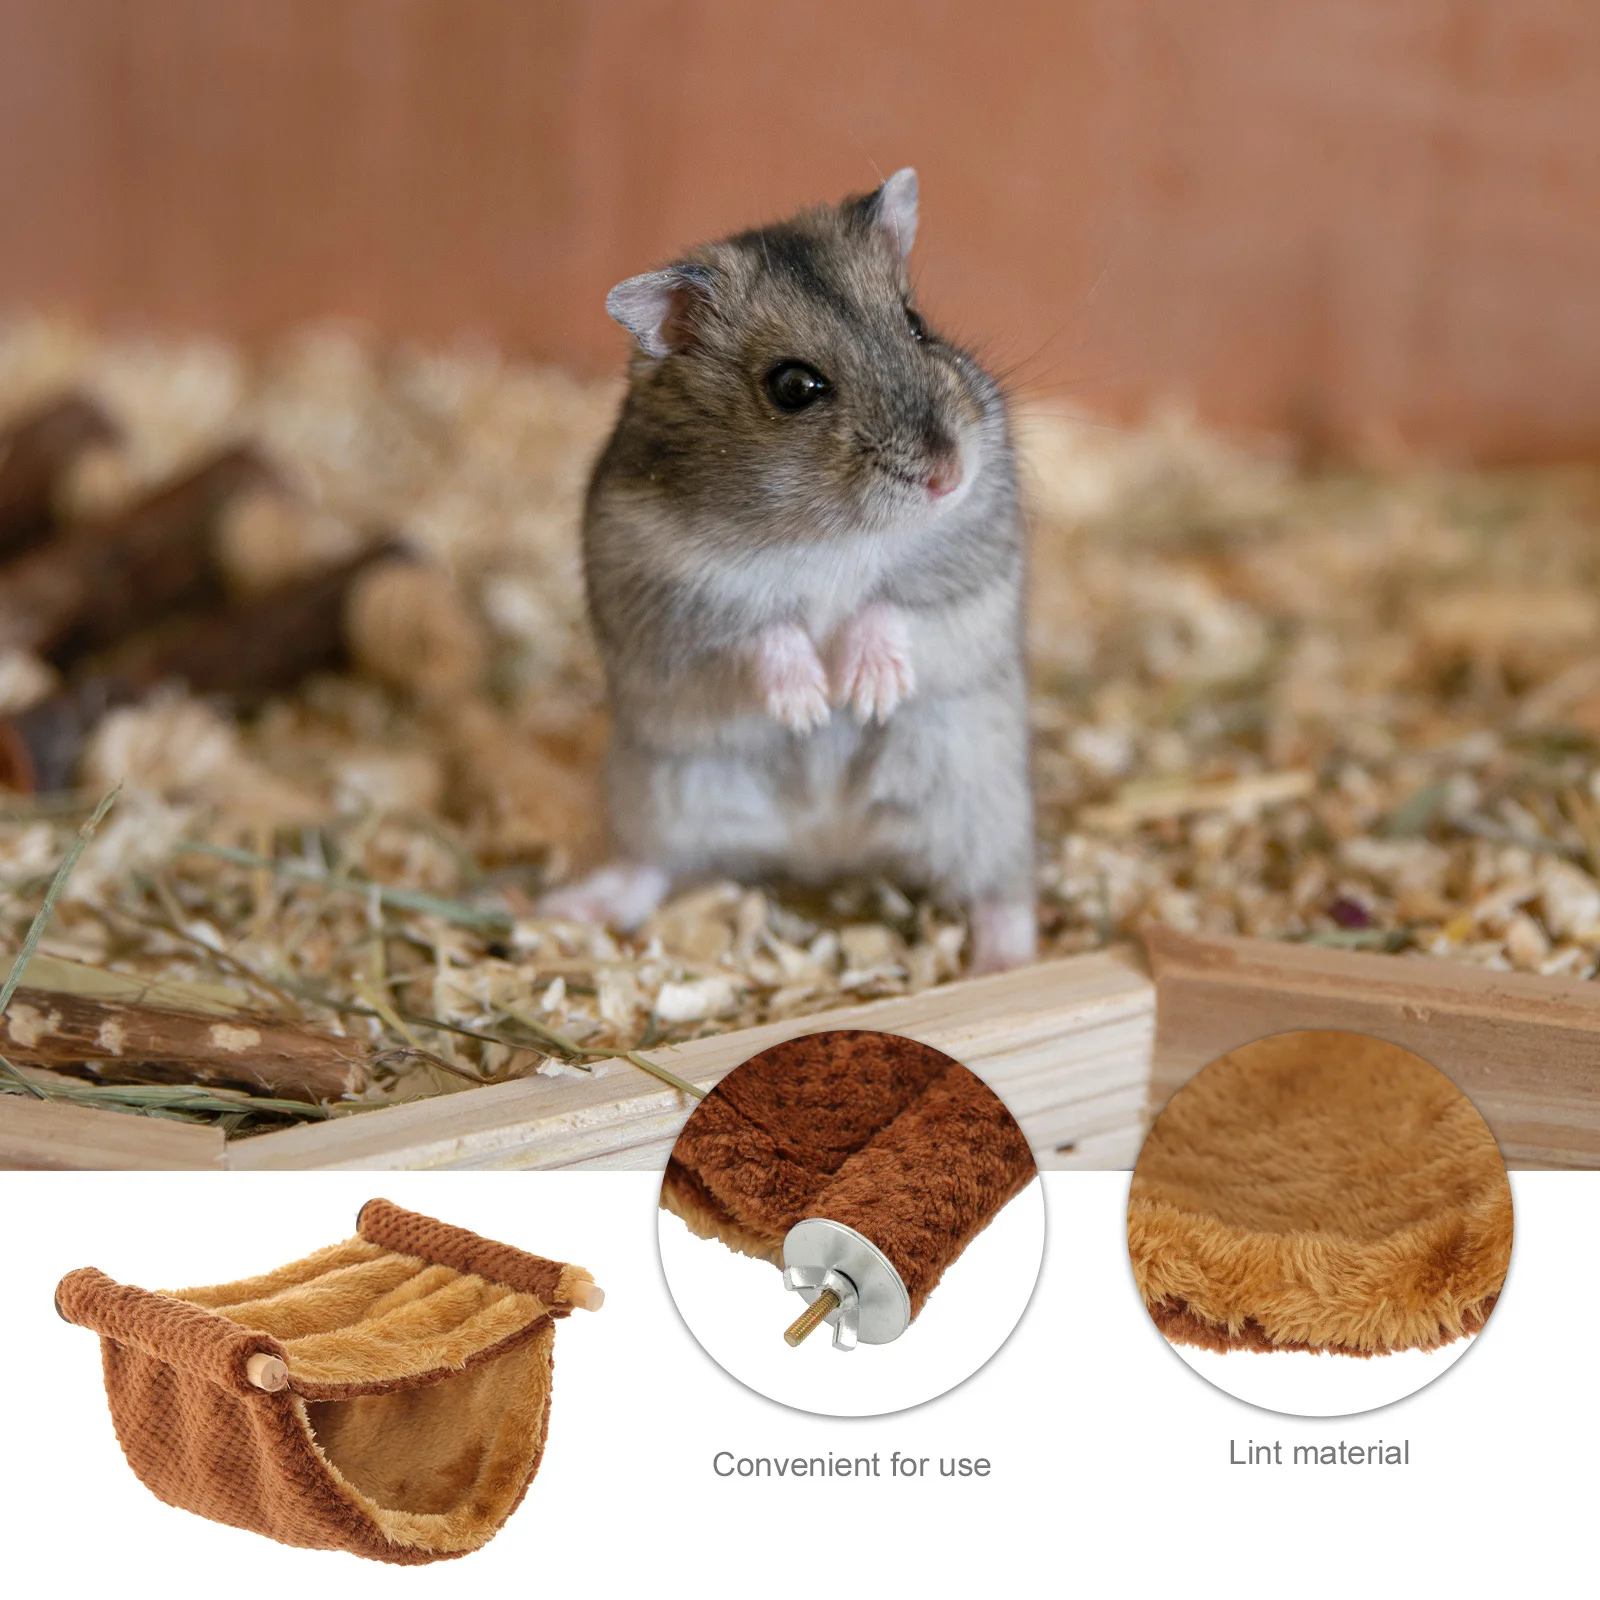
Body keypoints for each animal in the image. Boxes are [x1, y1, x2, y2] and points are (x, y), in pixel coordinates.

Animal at [539, 169, 1036, 972]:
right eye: (794, 387)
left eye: (916, 323)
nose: (948, 476)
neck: (828, 532)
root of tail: (825, 847)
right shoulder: (669, 595)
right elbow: (761, 630)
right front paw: (809, 707)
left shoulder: (971, 563)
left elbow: (891, 605)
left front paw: (866, 695)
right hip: (659, 794)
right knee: (648, 867)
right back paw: (562, 908)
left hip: (984, 800)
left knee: (1003, 892)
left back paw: (1004, 965)